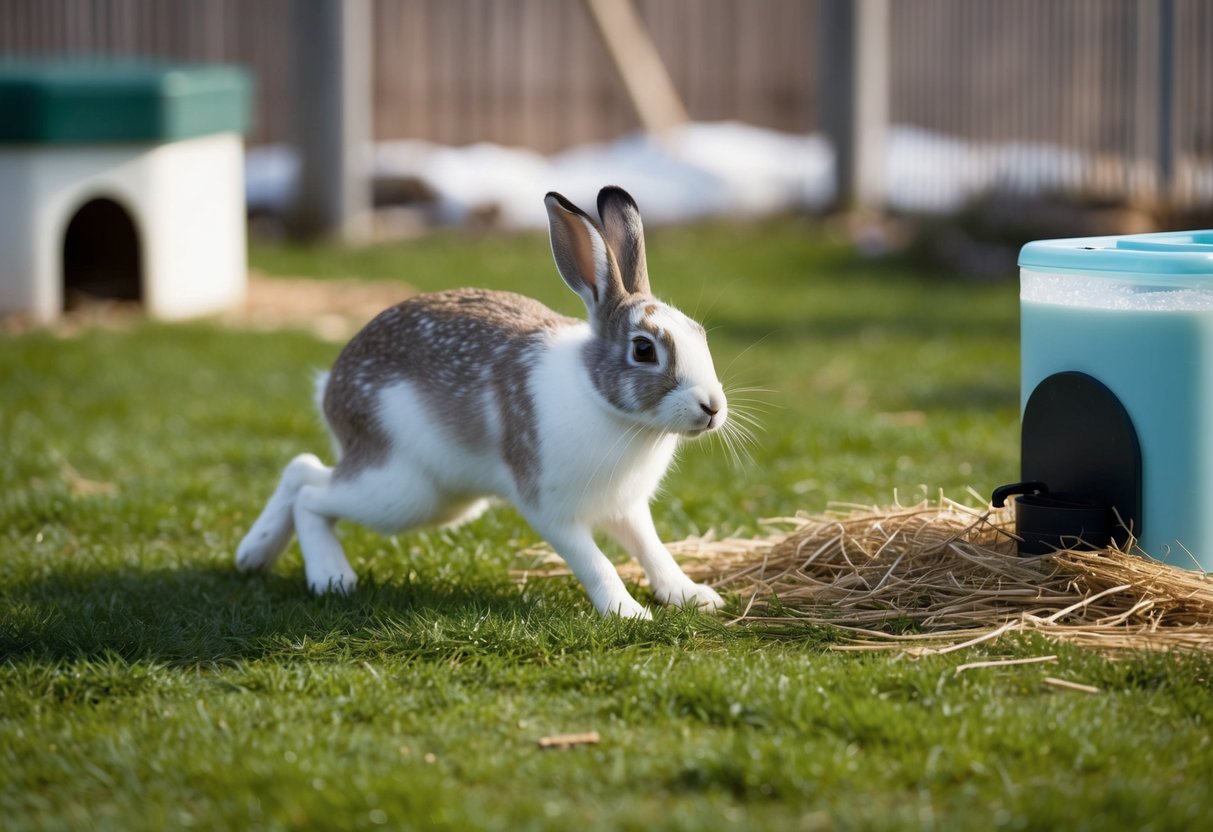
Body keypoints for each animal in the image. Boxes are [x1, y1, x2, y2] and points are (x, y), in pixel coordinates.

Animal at [235, 186, 727, 618]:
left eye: (699, 333)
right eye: (644, 349)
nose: (712, 408)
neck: (600, 398)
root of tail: (332, 388)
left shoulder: (627, 508)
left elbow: (652, 549)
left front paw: (694, 597)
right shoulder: (550, 510)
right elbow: (594, 562)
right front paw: (627, 613)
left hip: (438, 499)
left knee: (301, 470)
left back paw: (254, 555)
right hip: (400, 490)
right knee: (311, 495)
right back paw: (330, 577)